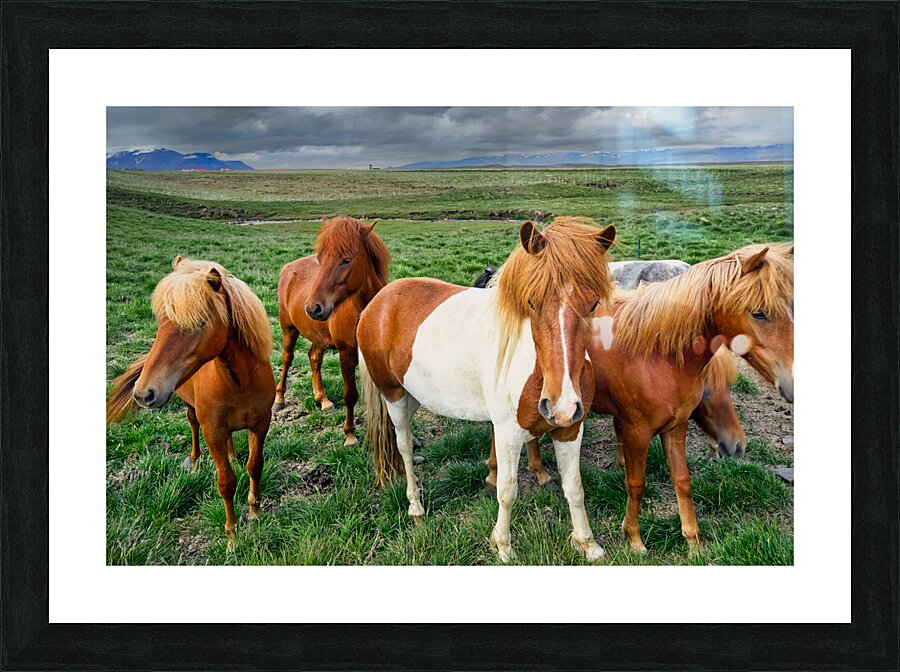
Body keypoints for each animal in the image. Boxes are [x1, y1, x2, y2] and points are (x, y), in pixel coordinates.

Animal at [107, 257, 275, 545]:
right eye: (160, 322)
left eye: (200, 324)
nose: (143, 393)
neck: (242, 383)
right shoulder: (212, 431)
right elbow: (226, 482)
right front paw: (232, 534)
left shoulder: (260, 424)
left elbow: (255, 466)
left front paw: (255, 511)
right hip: (192, 411)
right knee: (193, 426)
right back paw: (195, 462)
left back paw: (232, 456)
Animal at [274, 216, 390, 447]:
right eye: (320, 258)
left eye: (346, 260)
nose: (313, 307)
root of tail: (289, 267)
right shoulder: (346, 353)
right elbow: (350, 395)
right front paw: (350, 434)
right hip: (289, 329)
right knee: (287, 359)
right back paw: (279, 400)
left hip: (317, 335)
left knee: (314, 358)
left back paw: (323, 400)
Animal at [359, 217, 616, 563]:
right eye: (531, 302)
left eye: (593, 304)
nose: (560, 405)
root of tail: (380, 299)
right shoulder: (507, 433)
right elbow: (507, 490)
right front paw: (503, 545)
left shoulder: (570, 429)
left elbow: (574, 487)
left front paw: (587, 544)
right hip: (394, 396)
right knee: (404, 447)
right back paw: (415, 506)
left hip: (413, 395)